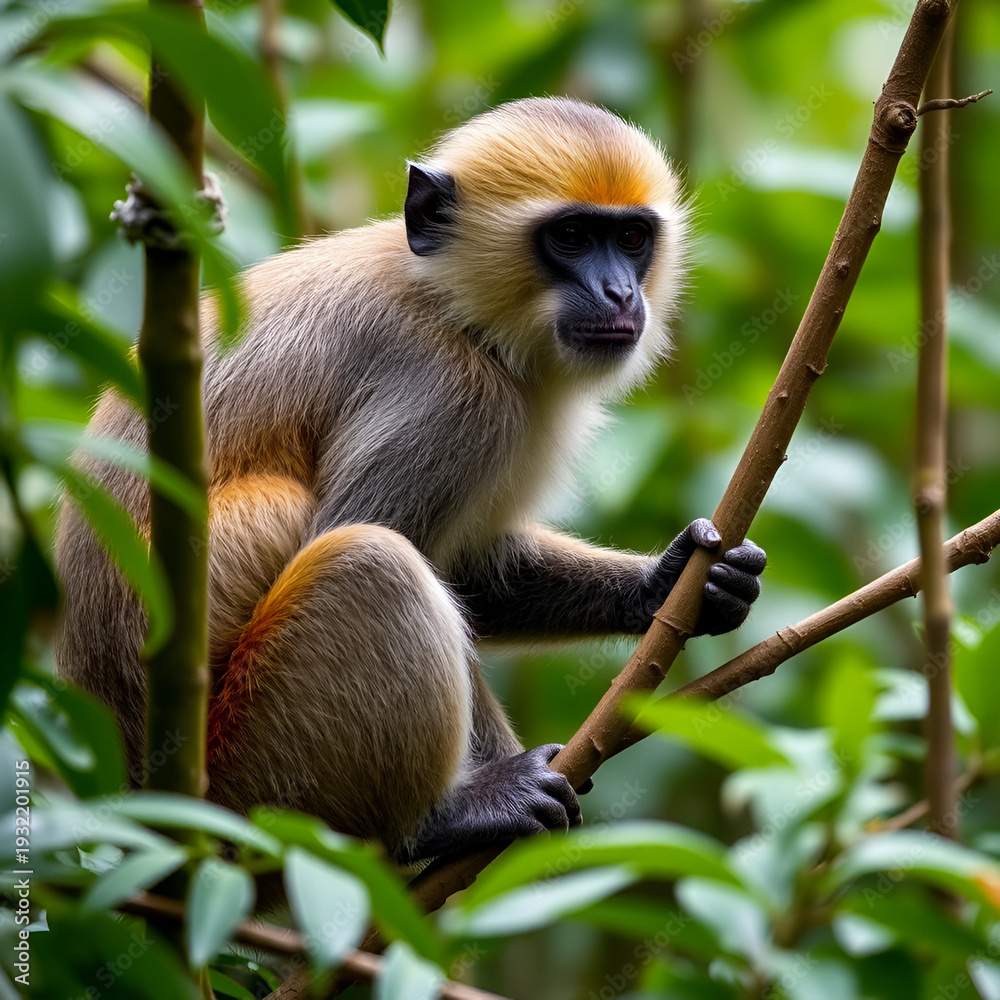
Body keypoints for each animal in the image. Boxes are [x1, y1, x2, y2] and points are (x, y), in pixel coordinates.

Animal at [55, 97, 766, 863]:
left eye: (632, 238)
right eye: (572, 237)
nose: (619, 292)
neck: (453, 309)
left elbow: (472, 571)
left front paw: (673, 584)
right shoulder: (446, 397)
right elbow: (378, 539)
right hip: (253, 771)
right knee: (371, 559)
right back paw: (440, 820)